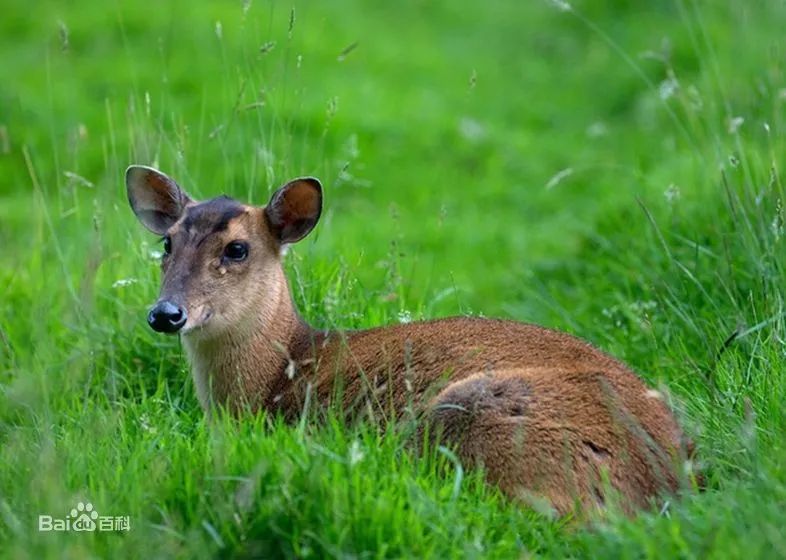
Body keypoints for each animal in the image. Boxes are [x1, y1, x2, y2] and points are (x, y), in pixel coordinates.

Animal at [124, 164, 692, 516]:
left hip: (477, 411)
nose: (166, 313)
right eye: (166, 243)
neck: (280, 371)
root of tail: (670, 482)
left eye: (238, 249)